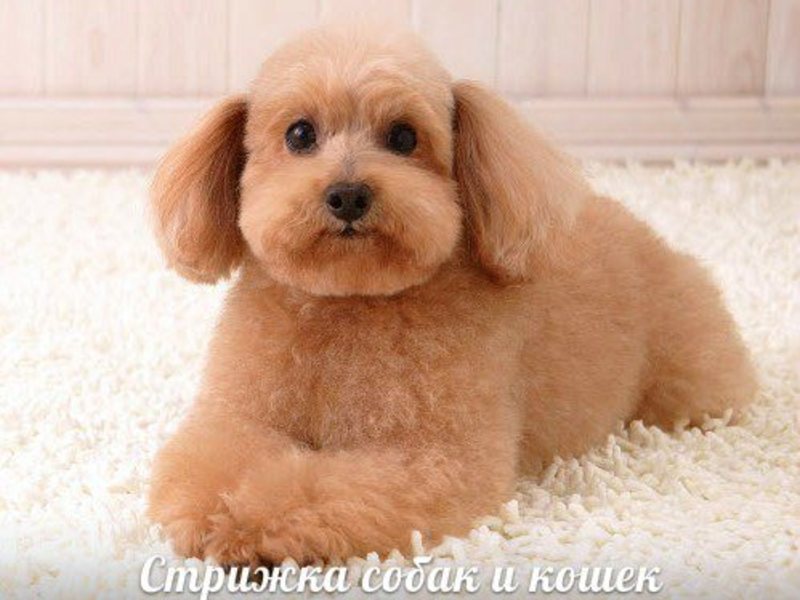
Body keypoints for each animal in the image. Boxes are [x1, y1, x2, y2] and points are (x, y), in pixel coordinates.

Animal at [148, 27, 756, 566]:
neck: (349, 299)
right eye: (299, 135)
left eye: (403, 137)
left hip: (686, 372)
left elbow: (317, 487)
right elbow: (209, 464)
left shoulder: (434, 456)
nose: (348, 195)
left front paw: (248, 520)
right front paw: (219, 512)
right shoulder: (238, 415)